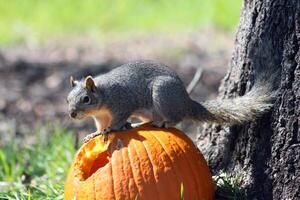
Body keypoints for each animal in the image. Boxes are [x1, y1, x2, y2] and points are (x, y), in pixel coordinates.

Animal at [66, 59, 276, 142]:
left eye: (86, 99)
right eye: (67, 99)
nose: (72, 114)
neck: (103, 94)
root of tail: (186, 101)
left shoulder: (122, 104)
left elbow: (117, 120)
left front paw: (111, 129)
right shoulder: (100, 116)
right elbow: (100, 126)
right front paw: (95, 133)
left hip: (162, 94)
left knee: (176, 118)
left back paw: (164, 123)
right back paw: (140, 124)